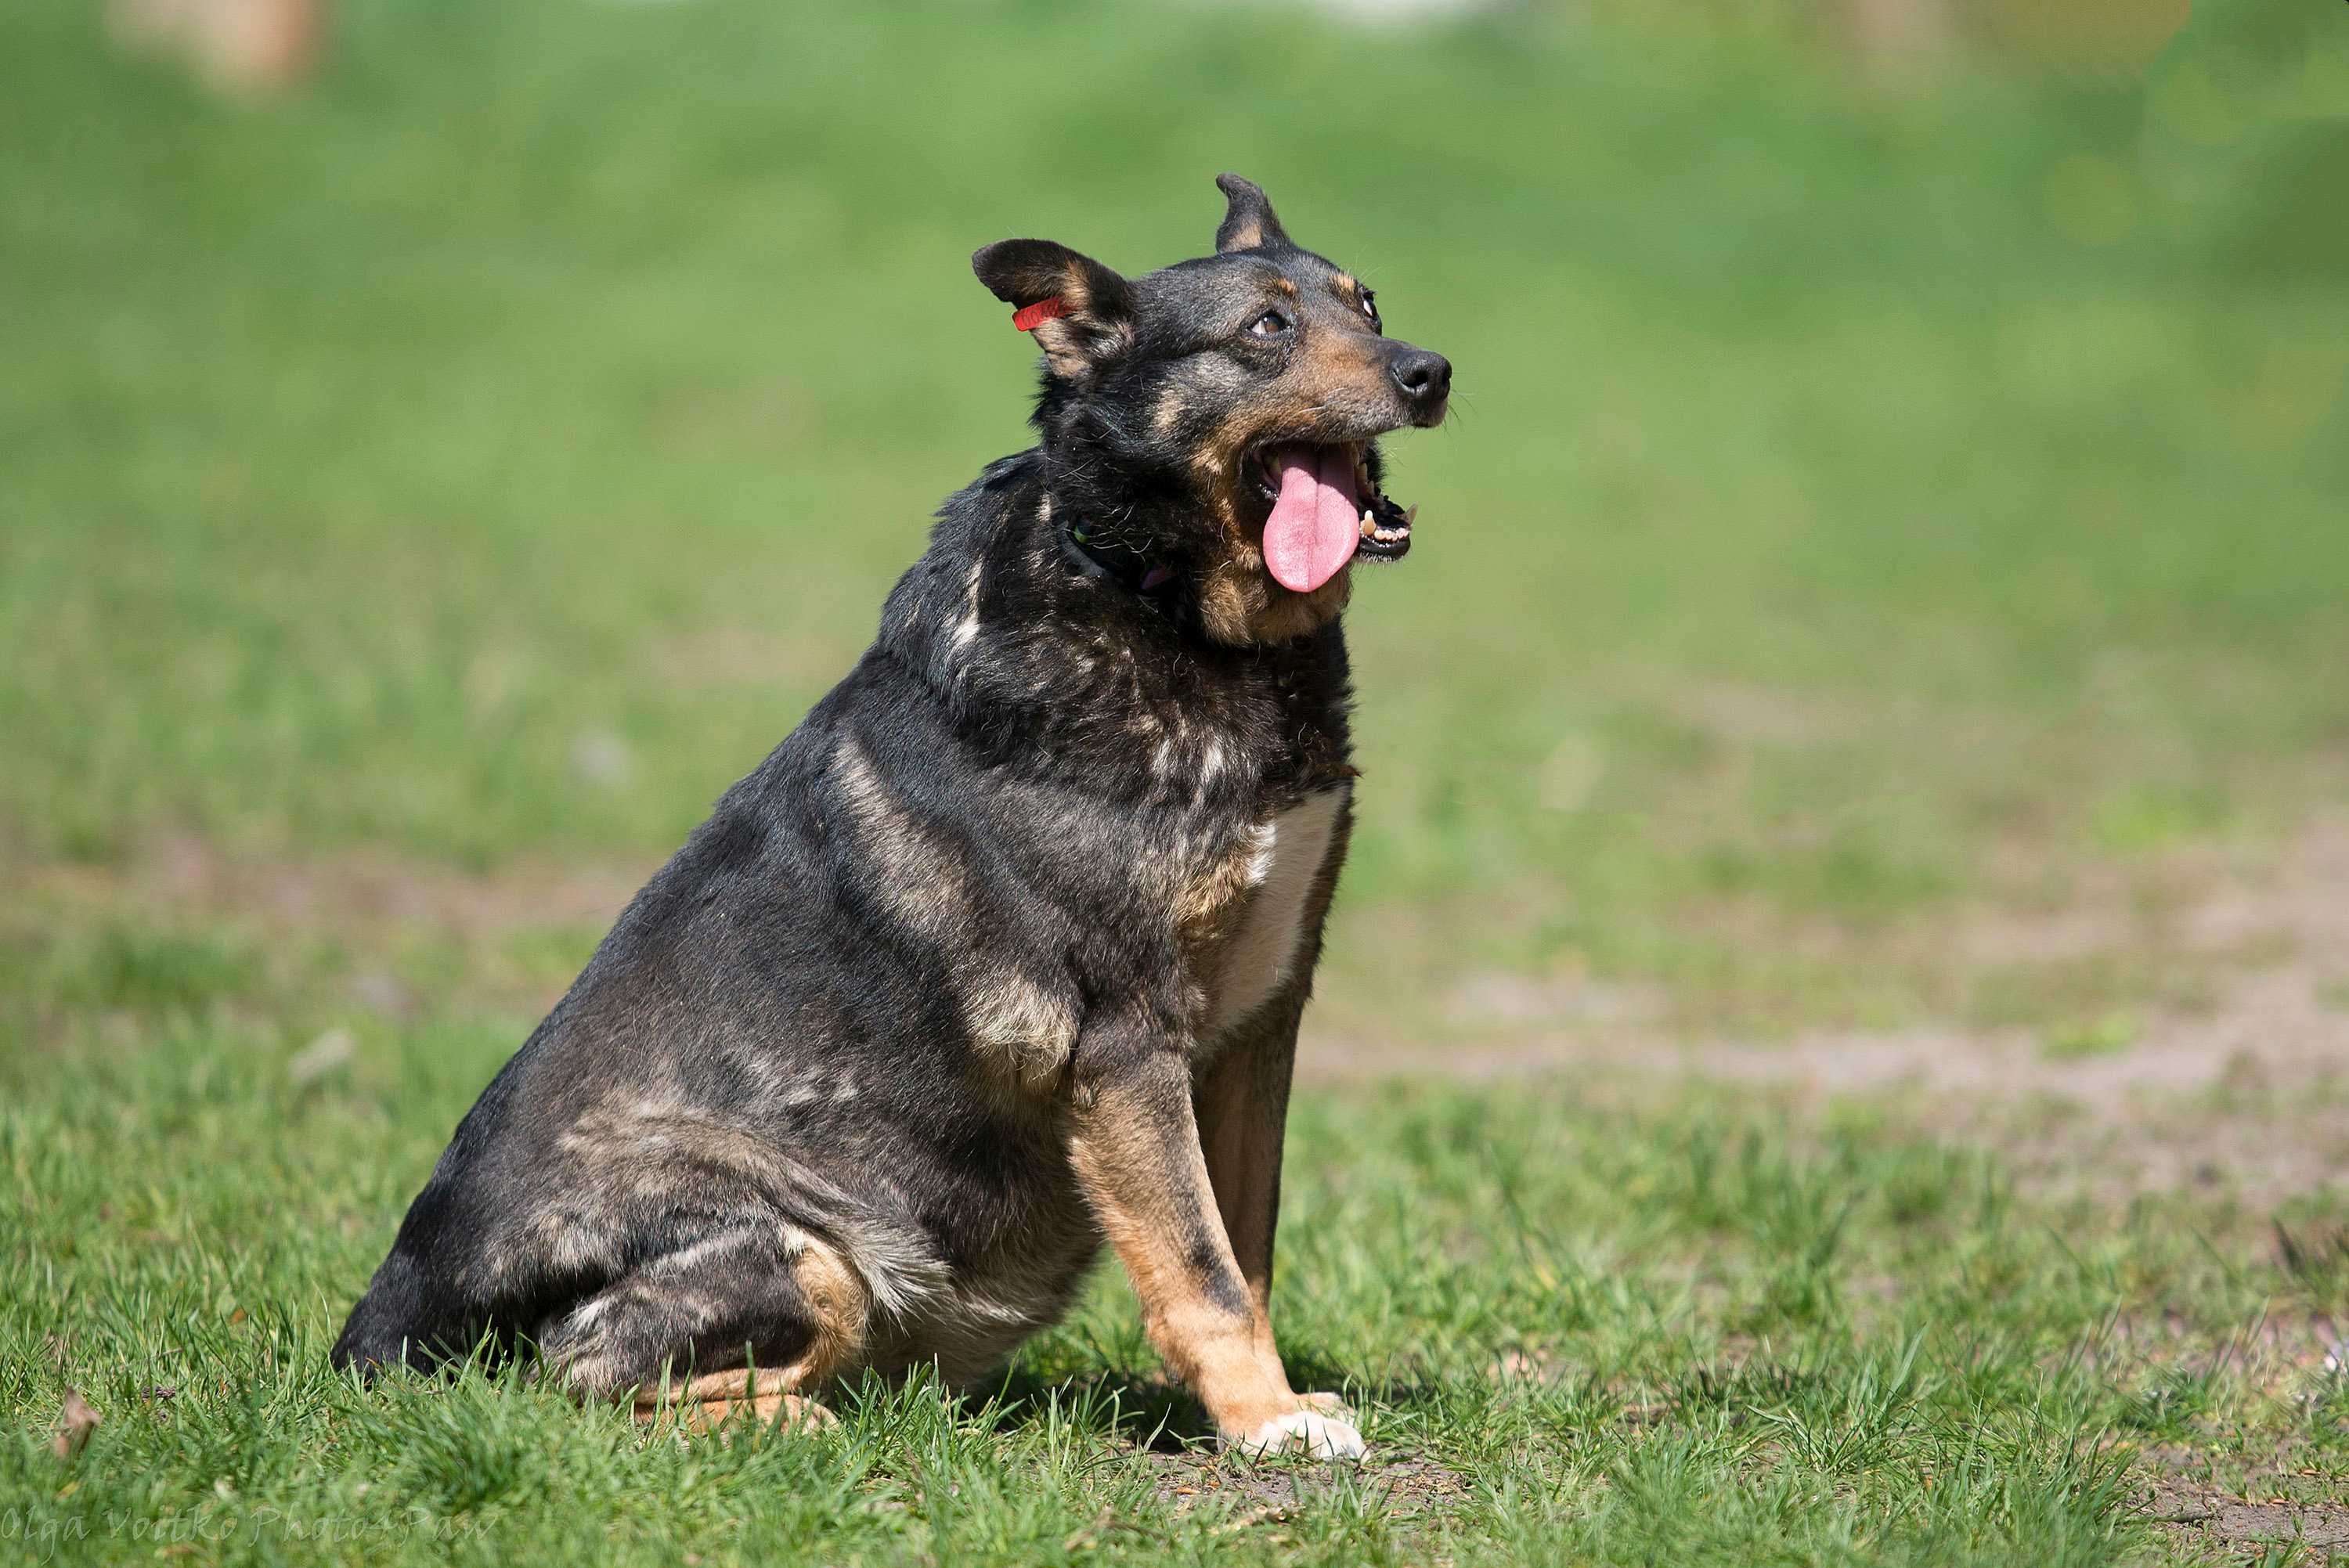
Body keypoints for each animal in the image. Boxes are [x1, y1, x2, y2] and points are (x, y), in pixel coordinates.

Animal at [331, 177, 1447, 1465]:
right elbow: (1203, 1266)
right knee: (581, 1385)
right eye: (1265, 329)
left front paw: (1270, 1402)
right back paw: (818, 1423)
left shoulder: (1262, 1015)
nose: (1432, 370)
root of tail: (373, 1342)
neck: (1159, 603)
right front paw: (1266, 1419)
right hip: (803, 1245)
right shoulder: (1126, 1037)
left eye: (1370, 304)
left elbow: (1244, 1244)